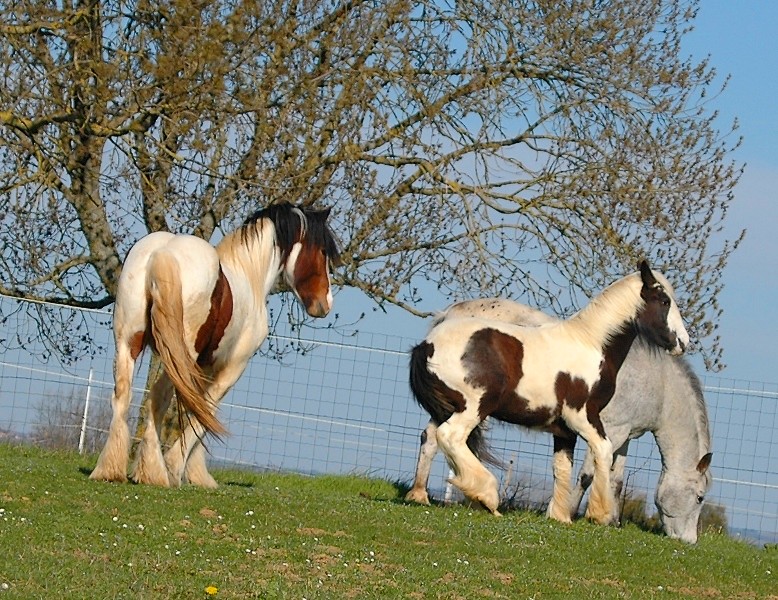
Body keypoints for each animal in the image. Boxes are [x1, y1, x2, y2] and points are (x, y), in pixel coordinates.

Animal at [89, 202, 338, 488]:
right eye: (322, 252)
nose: (325, 304)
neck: (249, 275)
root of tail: (162, 254)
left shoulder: (205, 367)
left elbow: (199, 411)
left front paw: (197, 474)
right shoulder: (231, 369)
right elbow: (205, 412)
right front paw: (177, 468)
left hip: (128, 343)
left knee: (123, 394)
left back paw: (110, 469)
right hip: (179, 354)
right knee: (158, 397)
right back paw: (155, 472)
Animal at [406, 260, 684, 524]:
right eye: (664, 301)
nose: (683, 342)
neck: (591, 344)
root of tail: (426, 345)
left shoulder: (564, 430)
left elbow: (562, 467)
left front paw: (560, 516)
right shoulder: (583, 416)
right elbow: (603, 451)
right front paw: (600, 514)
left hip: (445, 409)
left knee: (430, 438)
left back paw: (420, 496)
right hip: (474, 407)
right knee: (450, 436)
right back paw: (487, 496)